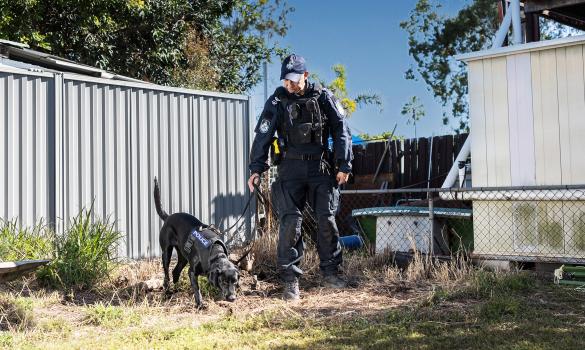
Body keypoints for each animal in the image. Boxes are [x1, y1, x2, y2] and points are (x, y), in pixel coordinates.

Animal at [155, 178, 240, 306]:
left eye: (235, 282)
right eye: (224, 282)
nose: (232, 298)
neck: (215, 254)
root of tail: (168, 217)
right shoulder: (191, 271)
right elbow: (197, 288)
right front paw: (200, 304)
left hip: (183, 257)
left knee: (175, 272)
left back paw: (177, 290)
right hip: (166, 252)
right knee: (166, 274)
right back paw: (167, 291)